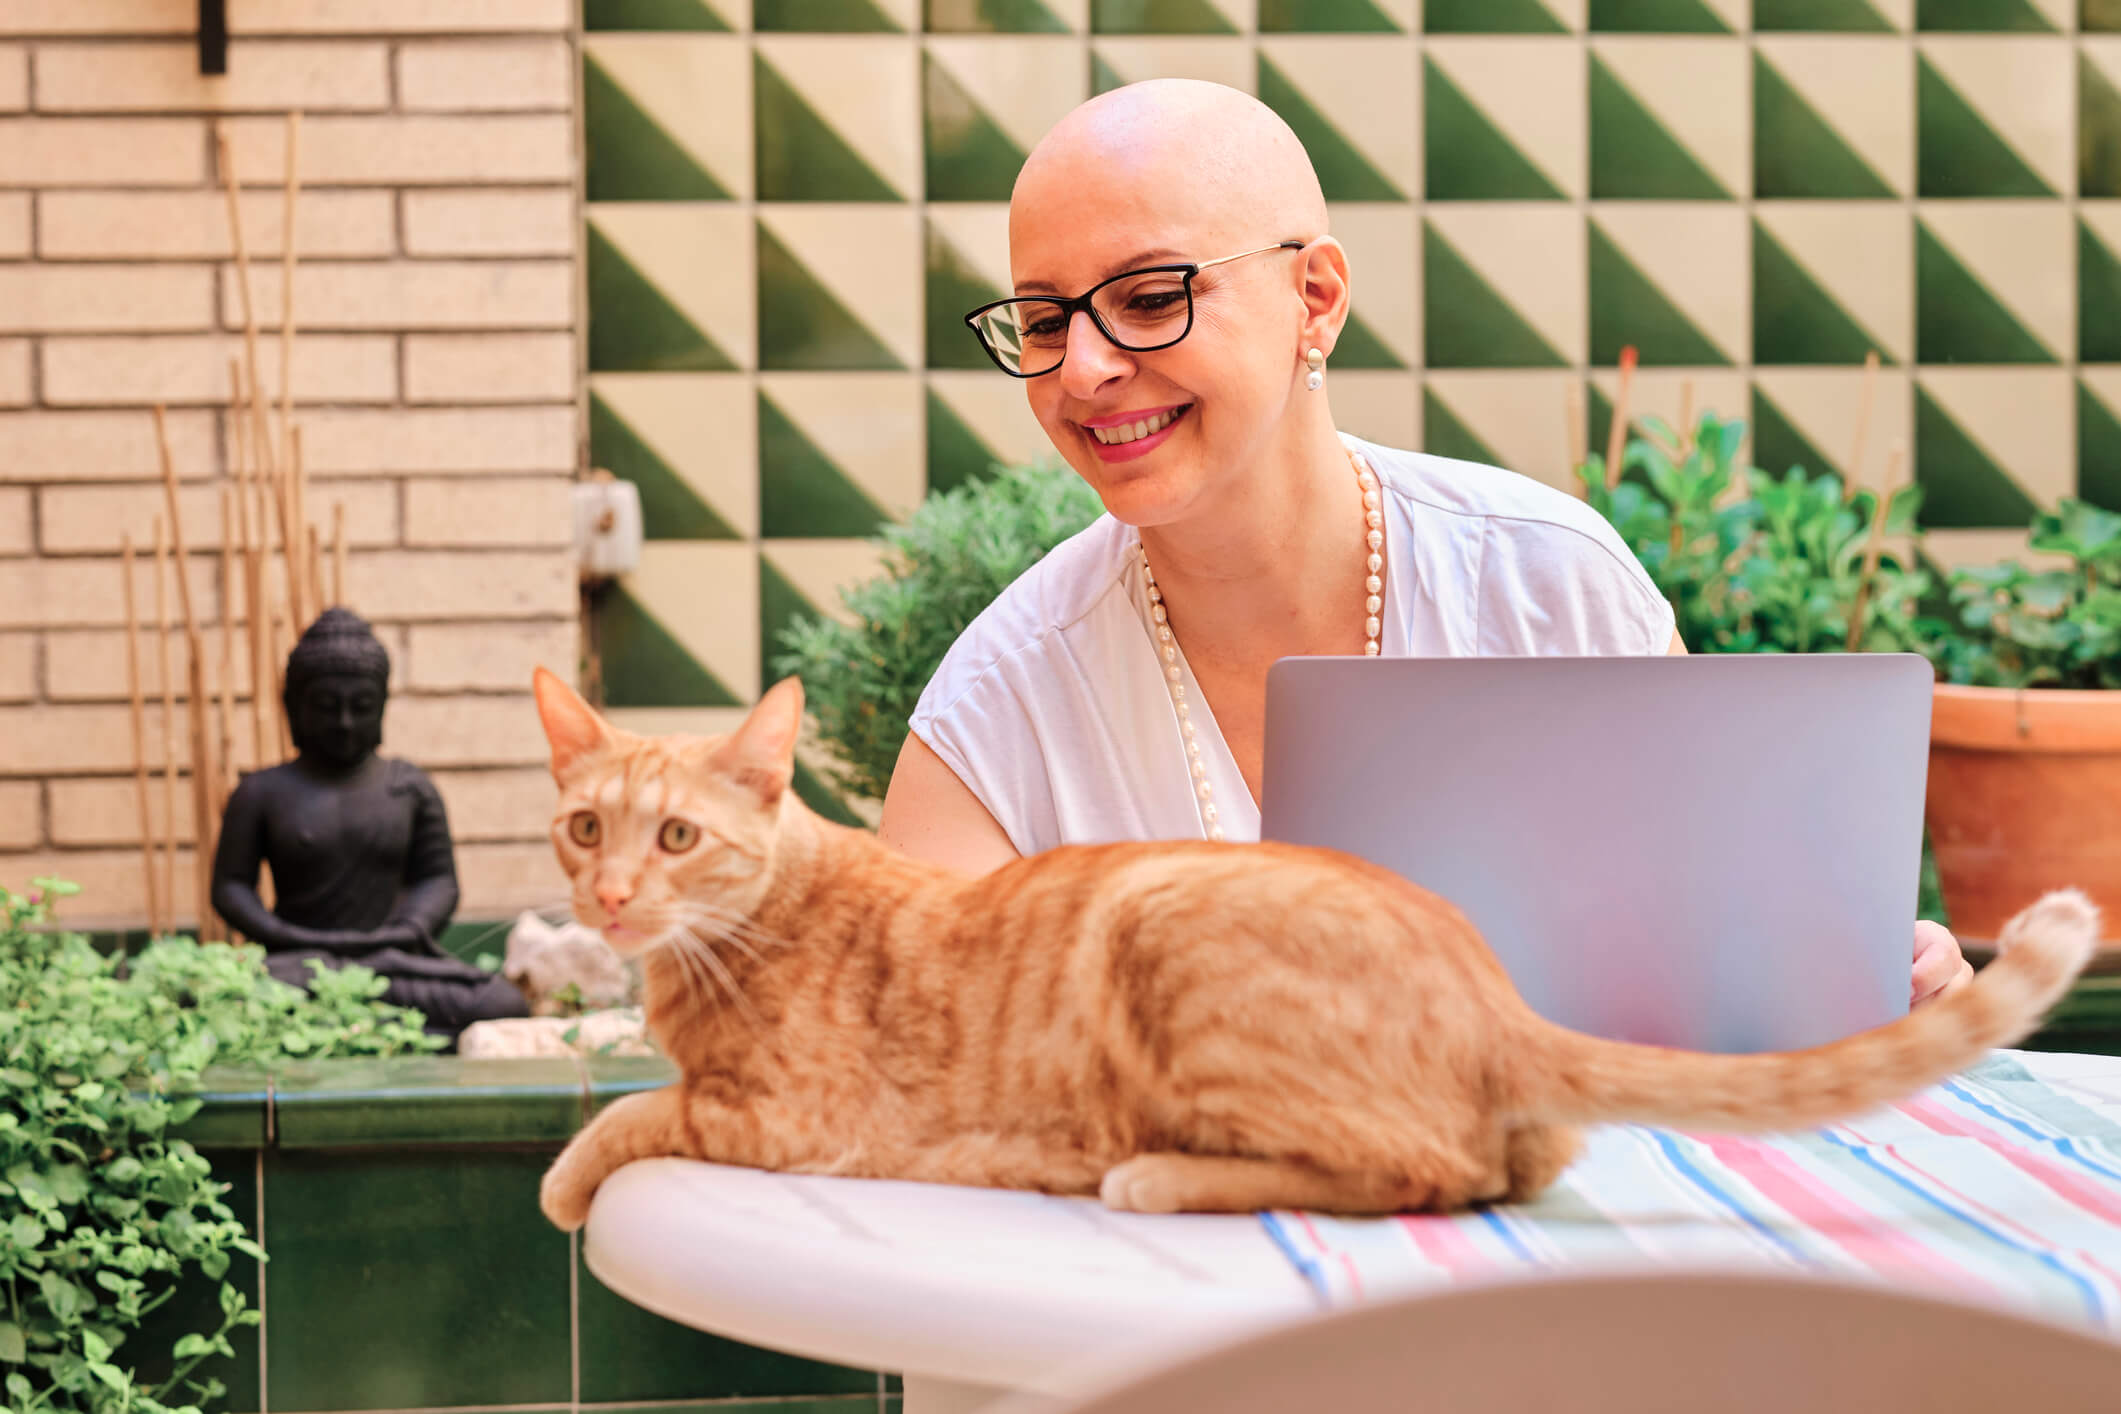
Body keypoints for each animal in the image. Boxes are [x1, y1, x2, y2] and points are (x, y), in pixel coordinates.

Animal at [534, 669, 2104, 1229]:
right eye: (582, 827)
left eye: (676, 838)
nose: (605, 896)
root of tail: (1492, 989)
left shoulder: (785, 1118)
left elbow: (631, 1113)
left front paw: (565, 1180)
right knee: (1510, 1160)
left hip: (1161, 922)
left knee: (1428, 1170)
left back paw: (1156, 1173)